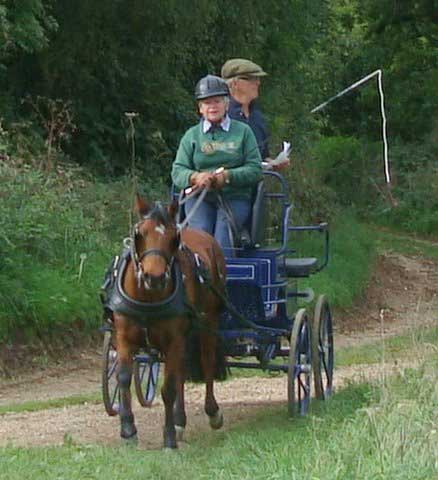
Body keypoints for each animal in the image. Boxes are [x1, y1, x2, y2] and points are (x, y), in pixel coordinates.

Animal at [113, 195, 226, 450]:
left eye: (174, 238)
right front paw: (128, 428)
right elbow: (123, 377)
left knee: (207, 360)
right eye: (139, 233)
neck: (147, 297)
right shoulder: (124, 337)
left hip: (210, 320)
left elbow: (168, 389)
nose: (153, 277)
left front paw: (169, 437)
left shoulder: (174, 340)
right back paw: (180, 420)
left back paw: (211, 412)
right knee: (182, 369)